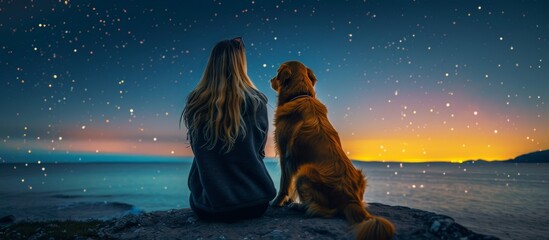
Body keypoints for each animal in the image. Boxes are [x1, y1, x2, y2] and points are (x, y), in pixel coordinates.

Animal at [270, 61, 394, 239]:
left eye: (277, 72)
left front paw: (277, 202)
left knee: (325, 211)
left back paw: (300, 207)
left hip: (304, 172)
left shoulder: (285, 154)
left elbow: (284, 183)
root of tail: (351, 199)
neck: (300, 94)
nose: (270, 79)